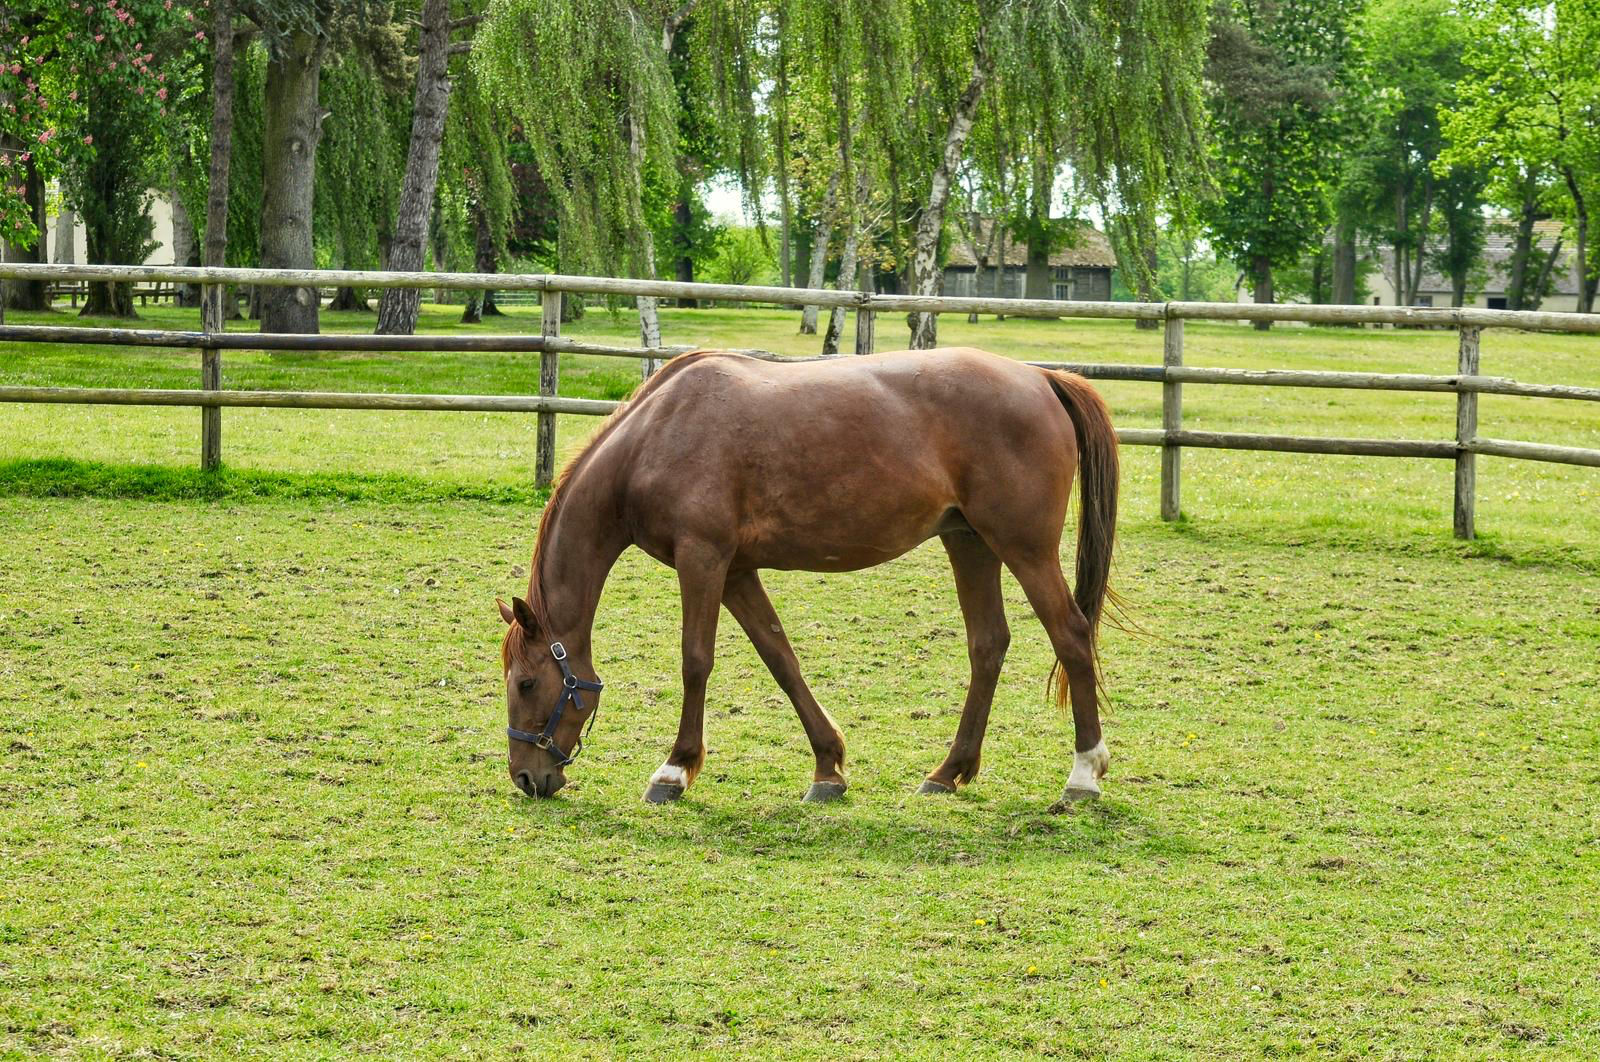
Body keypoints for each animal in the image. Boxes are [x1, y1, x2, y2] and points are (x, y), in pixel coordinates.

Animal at [497, 345, 1120, 807]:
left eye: (526, 683)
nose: (526, 778)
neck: (656, 436)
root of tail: (1040, 378)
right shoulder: (737, 570)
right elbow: (781, 658)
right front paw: (828, 769)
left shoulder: (703, 560)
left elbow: (696, 661)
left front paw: (673, 771)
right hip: (970, 543)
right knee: (988, 644)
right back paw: (948, 772)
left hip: (1023, 547)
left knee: (1070, 635)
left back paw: (1083, 775)